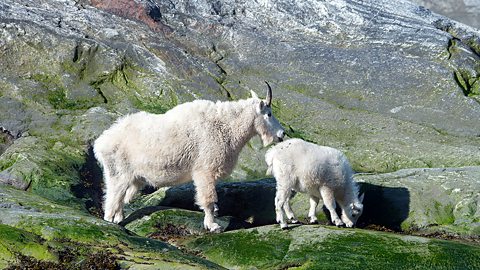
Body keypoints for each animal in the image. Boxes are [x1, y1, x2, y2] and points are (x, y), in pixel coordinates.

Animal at [94, 83, 284, 232]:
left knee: (121, 198)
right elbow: (209, 199)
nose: (282, 134)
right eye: (269, 114)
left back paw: (119, 218)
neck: (227, 126)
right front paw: (213, 226)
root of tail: (101, 142)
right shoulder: (205, 169)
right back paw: (110, 221)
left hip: (133, 176)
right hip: (118, 171)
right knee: (112, 197)